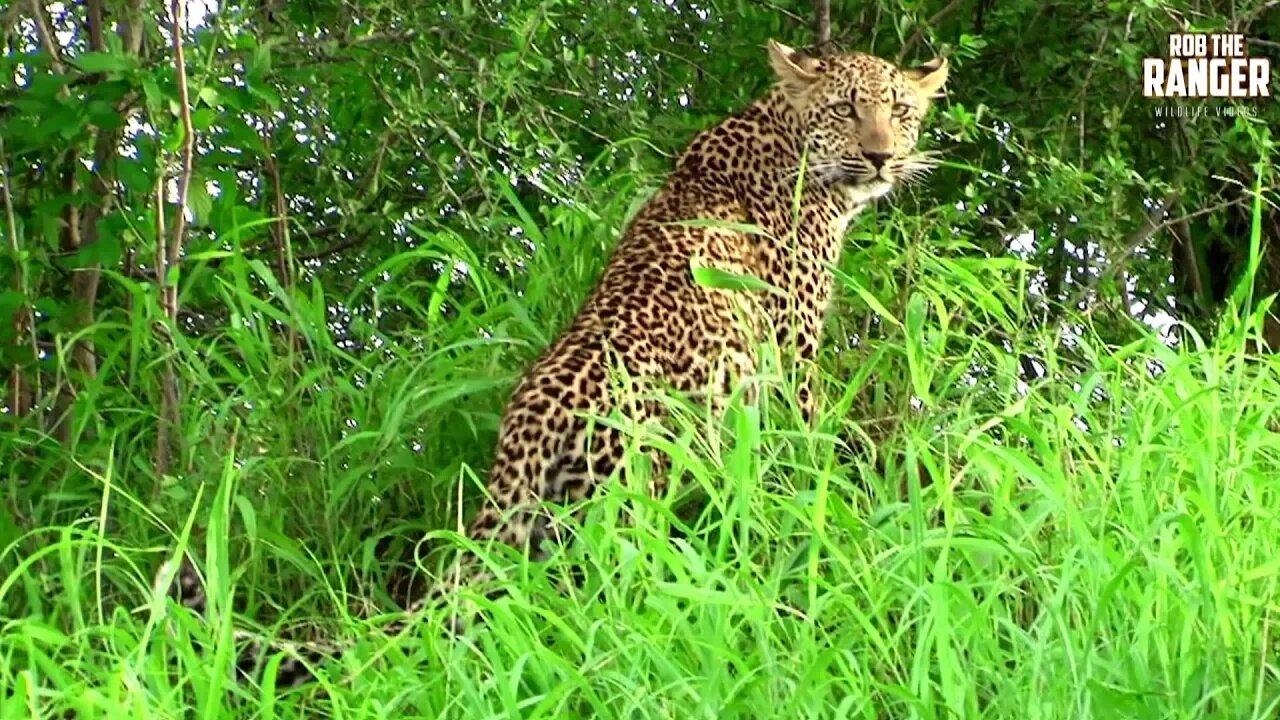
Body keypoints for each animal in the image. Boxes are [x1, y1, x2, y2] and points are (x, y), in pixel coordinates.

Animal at [154, 39, 947, 691]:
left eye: (901, 111)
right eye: (848, 108)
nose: (882, 157)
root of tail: (525, 424)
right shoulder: (791, 350)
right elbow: (810, 449)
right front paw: (830, 509)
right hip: (629, 498)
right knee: (617, 602)